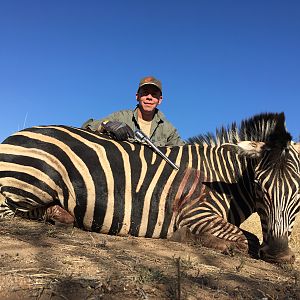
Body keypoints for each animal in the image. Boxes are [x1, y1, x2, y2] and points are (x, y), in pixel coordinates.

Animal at [0, 112, 298, 262]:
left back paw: (59, 214)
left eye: (299, 190)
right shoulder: (196, 213)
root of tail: (12, 136)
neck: (223, 180)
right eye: (259, 185)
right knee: (9, 210)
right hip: (34, 181)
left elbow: (251, 237)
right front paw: (190, 238)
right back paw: (56, 215)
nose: (279, 254)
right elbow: (245, 240)